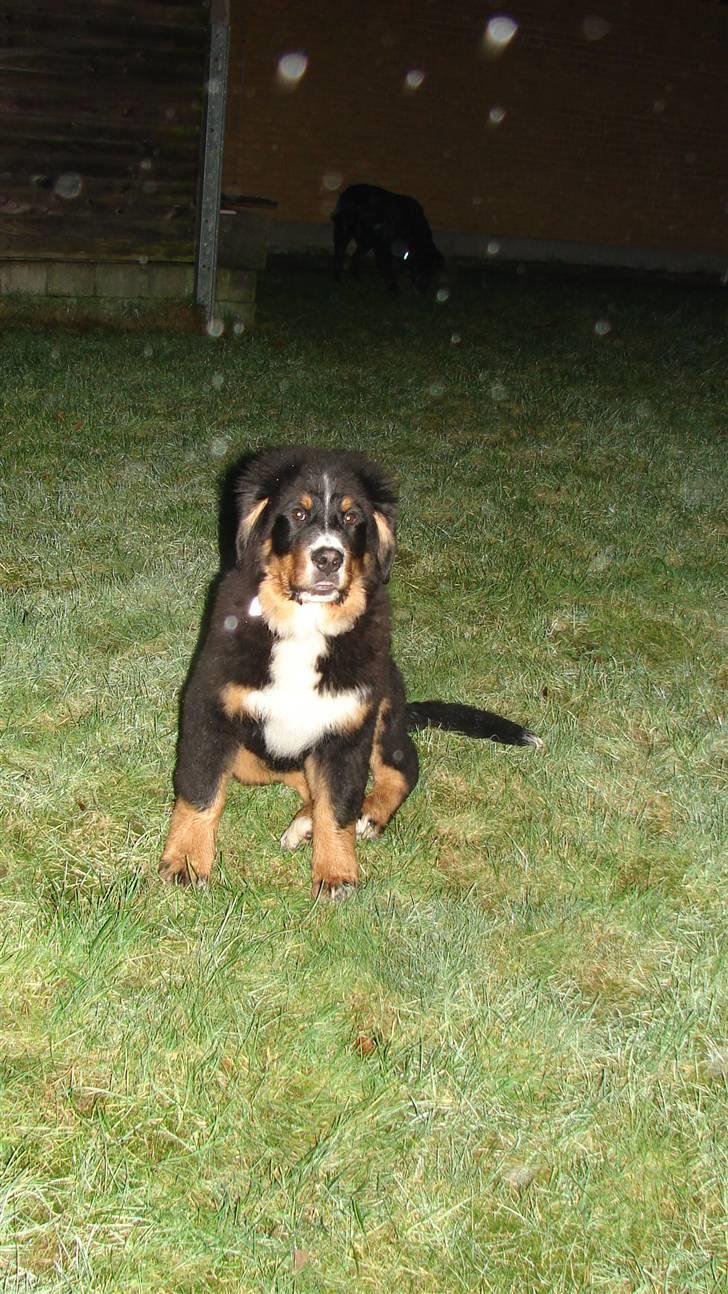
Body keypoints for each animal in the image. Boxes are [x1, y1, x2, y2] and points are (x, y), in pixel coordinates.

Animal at [160, 445, 540, 900]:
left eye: (352, 518)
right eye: (298, 514)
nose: (328, 558)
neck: (305, 625)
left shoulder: (348, 725)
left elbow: (339, 806)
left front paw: (336, 874)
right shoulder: (212, 707)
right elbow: (201, 791)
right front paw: (186, 861)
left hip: (383, 704)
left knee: (401, 766)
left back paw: (367, 815)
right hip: (253, 756)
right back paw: (304, 823)